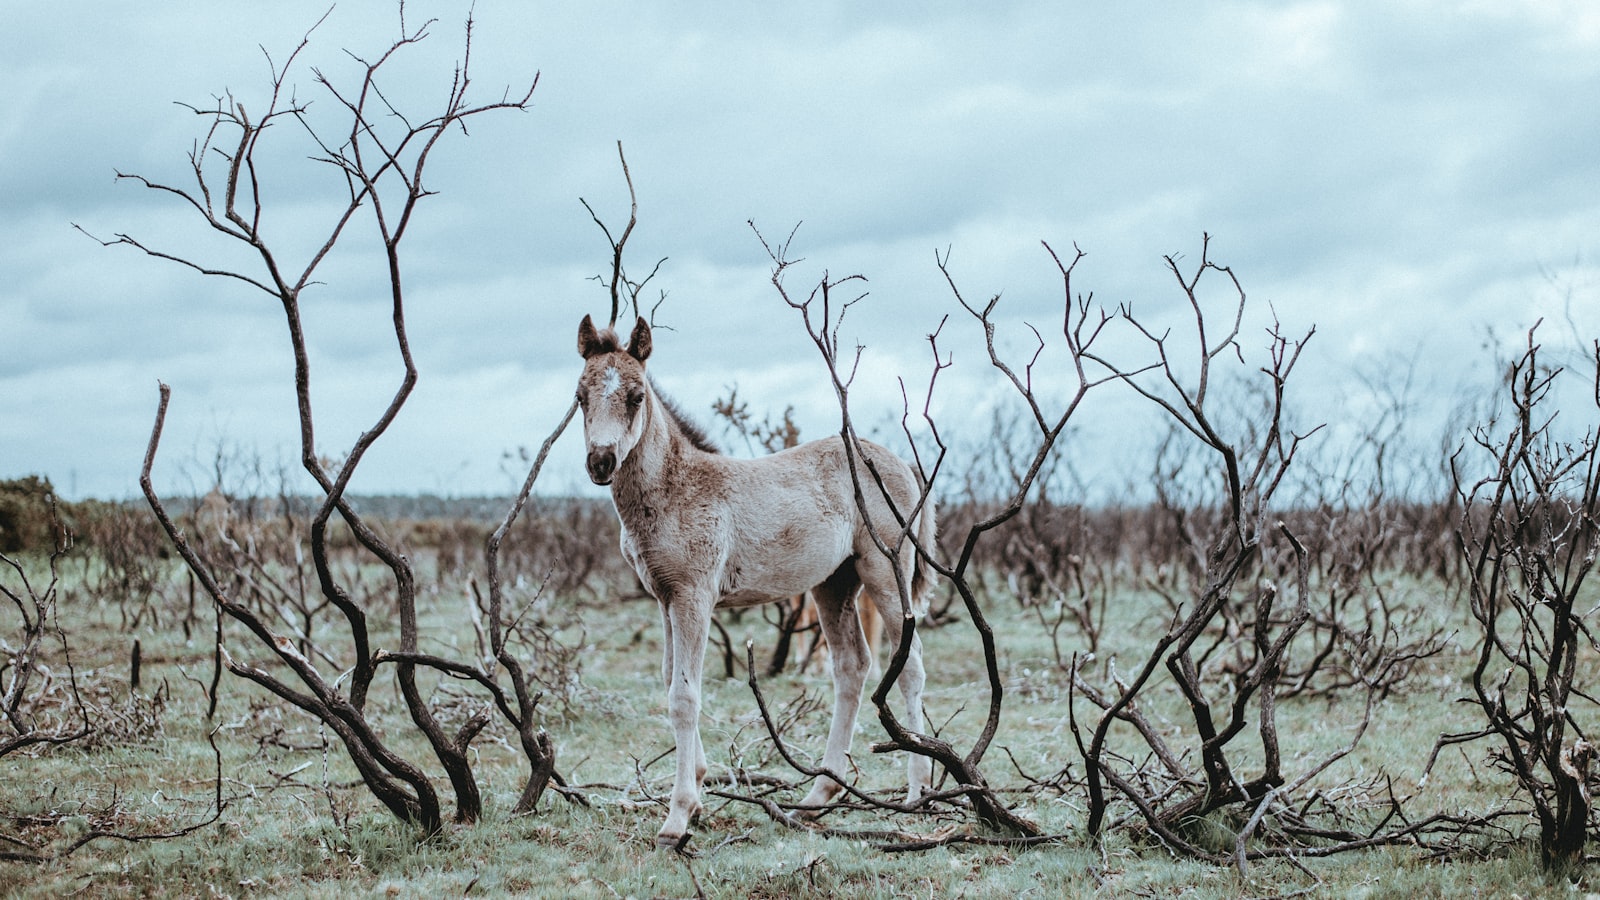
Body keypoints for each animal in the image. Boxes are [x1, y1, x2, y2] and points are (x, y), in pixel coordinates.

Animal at [576, 312, 934, 845]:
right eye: (580, 396)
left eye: (636, 396)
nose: (600, 463)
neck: (674, 489)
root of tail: (900, 462)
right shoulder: (664, 597)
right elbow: (670, 679)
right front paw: (699, 786)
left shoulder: (694, 596)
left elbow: (684, 696)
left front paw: (677, 817)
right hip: (834, 584)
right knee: (852, 666)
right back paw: (818, 796)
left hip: (886, 572)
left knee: (907, 665)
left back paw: (916, 792)